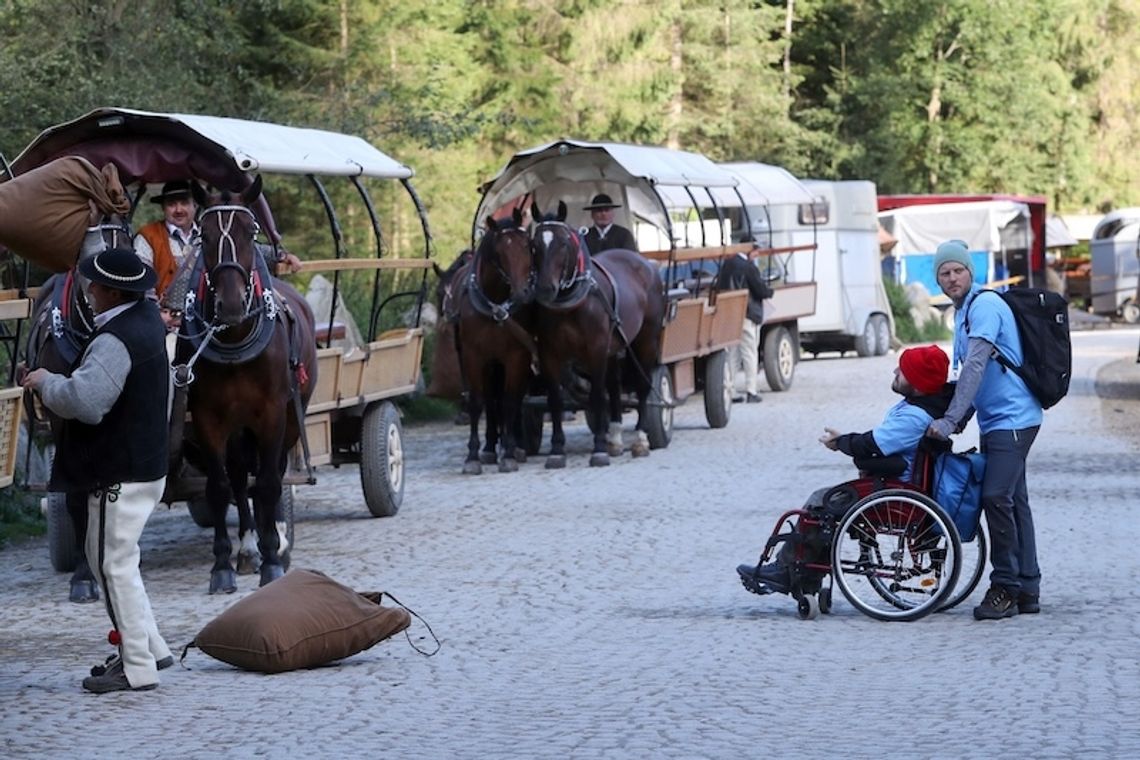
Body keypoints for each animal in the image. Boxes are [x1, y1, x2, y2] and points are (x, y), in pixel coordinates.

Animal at [177, 180, 321, 592]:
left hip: (290, 417)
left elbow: (270, 483)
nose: (229, 305)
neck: (234, 336)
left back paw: (276, 539)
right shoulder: (208, 418)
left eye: (250, 232)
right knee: (241, 477)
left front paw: (273, 558)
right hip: (237, 425)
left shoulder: (272, 414)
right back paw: (246, 547)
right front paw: (222, 564)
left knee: (273, 472)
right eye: (204, 235)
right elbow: (220, 486)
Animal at [451, 206, 535, 469]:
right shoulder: (474, 357)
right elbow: (478, 402)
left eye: (527, 245)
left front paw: (508, 453)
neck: (496, 305)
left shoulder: (516, 357)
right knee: (490, 400)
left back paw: (515, 445)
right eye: (500, 252)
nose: (522, 292)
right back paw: (489, 447)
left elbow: (509, 402)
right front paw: (472, 455)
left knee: (511, 400)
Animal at [528, 199, 665, 467]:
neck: (571, 304)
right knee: (615, 388)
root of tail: (645, 265)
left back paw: (640, 439)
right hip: (614, 348)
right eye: (534, 245)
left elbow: (597, 397)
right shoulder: (550, 354)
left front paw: (599, 448)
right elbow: (556, 400)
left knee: (642, 386)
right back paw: (616, 438)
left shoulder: (596, 349)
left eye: (563, 243)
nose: (545, 289)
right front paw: (557, 450)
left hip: (645, 342)